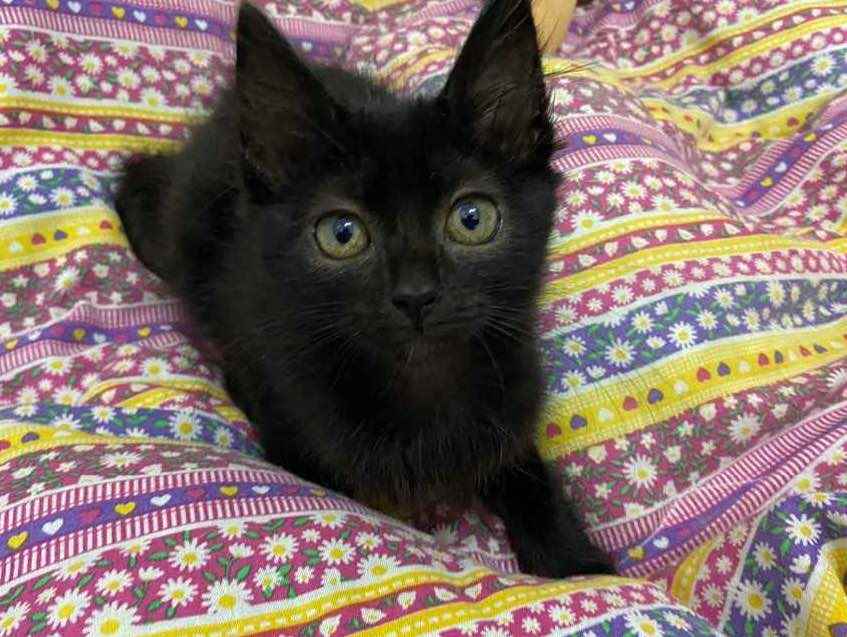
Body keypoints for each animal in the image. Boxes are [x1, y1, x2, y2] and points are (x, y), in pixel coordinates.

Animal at [115, 0, 612, 578]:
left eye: (472, 218)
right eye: (342, 234)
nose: (416, 294)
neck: (420, 381)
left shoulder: (514, 397)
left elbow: (529, 475)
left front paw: (576, 560)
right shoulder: (281, 412)